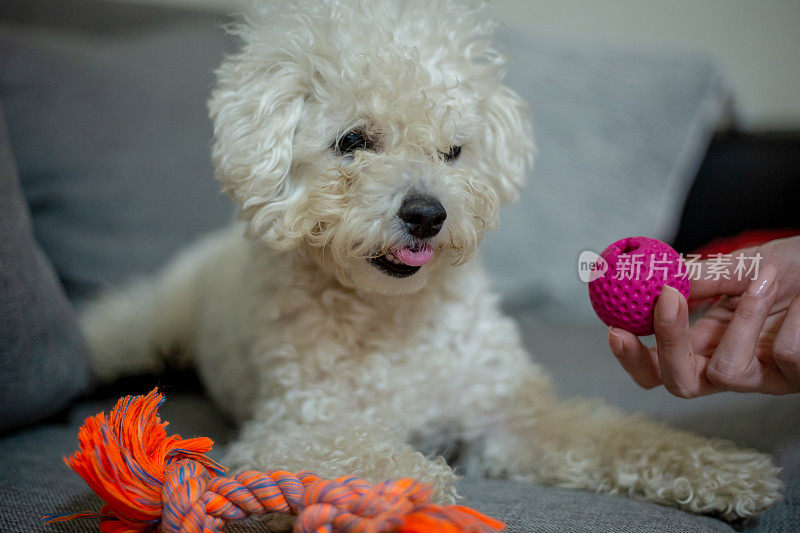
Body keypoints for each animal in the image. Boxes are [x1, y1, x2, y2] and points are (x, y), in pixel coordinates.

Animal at [81, 0, 780, 520]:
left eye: (454, 151)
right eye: (353, 141)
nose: (426, 214)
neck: (393, 315)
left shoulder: (510, 416)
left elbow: (615, 437)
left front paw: (729, 471)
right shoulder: (293, 425)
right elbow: (363, 452)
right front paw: (415, 486)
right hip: (154, 321)